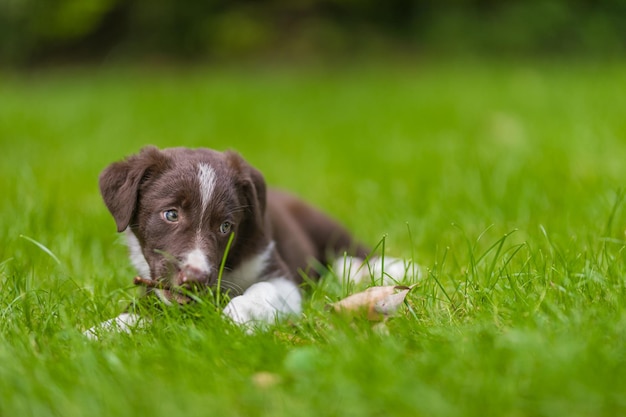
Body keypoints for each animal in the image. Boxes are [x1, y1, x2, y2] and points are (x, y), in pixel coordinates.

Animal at [86, 146, 410, 338]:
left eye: (225, 226)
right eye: (171, 214)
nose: (195, 278)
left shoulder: (280, 275)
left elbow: (262, 289)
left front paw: (239, 315)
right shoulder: (155, 285)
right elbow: (141, 310)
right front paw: (102, 332)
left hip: (324, 226)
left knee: (352, 253)